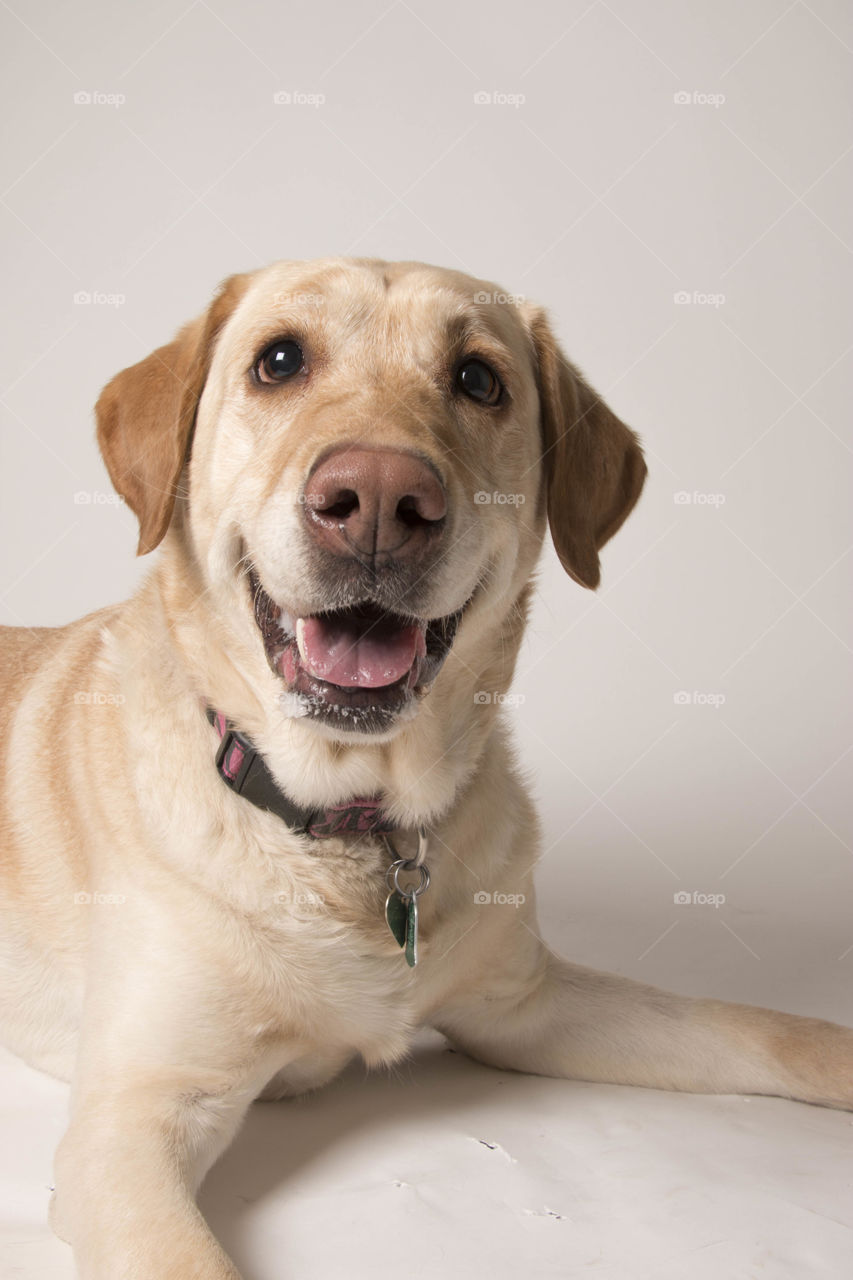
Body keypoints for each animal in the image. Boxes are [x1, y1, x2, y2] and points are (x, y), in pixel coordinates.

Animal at [0, 254, 845, 1274]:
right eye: (278, 361)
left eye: (478, 379)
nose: (375, 499)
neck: (353, 823)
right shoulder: (133, 1118)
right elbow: (183, 1256)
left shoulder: (524, 1005)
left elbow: (758, 1030)